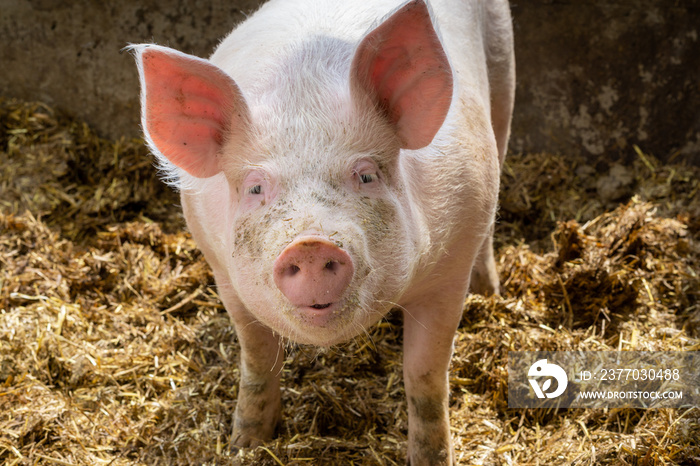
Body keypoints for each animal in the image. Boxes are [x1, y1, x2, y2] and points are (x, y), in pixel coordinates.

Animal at [131, 0, 516, 462]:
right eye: (255, 188)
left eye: (366, 175)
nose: (310, 245)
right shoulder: (223, 271)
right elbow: (256, 358)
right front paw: (244, 443)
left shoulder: (449, 271)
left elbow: (425, 377)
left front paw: (433, 459)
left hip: (503, 69)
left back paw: (490, 291)